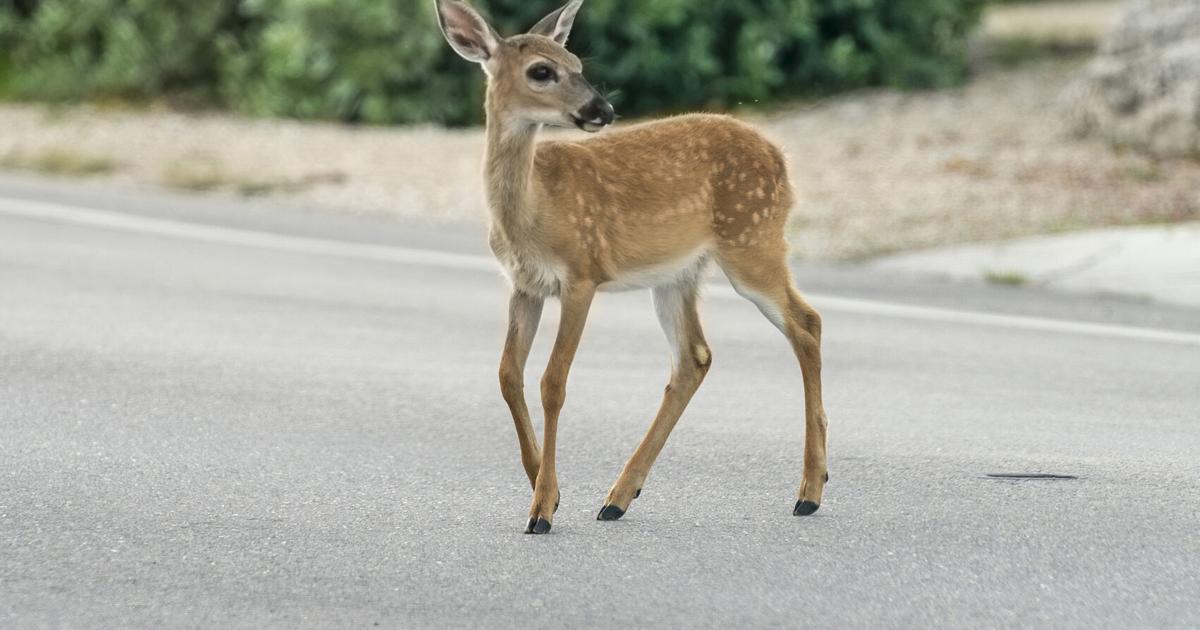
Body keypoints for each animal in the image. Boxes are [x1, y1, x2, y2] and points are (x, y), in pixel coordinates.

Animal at [434, 0, 828, 534]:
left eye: (577, 63)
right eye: (542, 71)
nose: (603, 111)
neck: (536, 208)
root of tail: (781, 160)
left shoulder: (581, 273)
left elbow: (553, 382)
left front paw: (542, 507)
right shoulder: (525, 285)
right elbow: (508, 376)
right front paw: (544, 486)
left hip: (752, 241)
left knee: (807, 323)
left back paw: (810, 491)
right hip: (678, 275)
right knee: (695, 356)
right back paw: (619, 497)